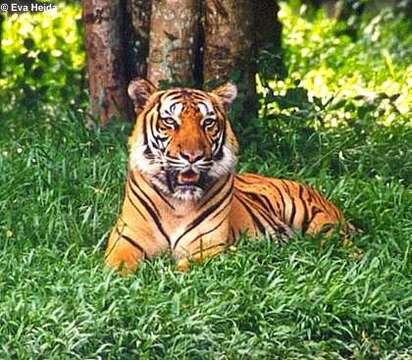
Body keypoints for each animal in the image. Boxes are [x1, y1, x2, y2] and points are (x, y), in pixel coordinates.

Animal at [104, 79, 350, 274]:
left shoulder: (208, 246)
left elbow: (182, 267)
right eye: (170, 122)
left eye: (208, 122)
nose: (193, 156)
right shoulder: (126, 241)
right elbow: (117, 267)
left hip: (320, 223)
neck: (178, 205)